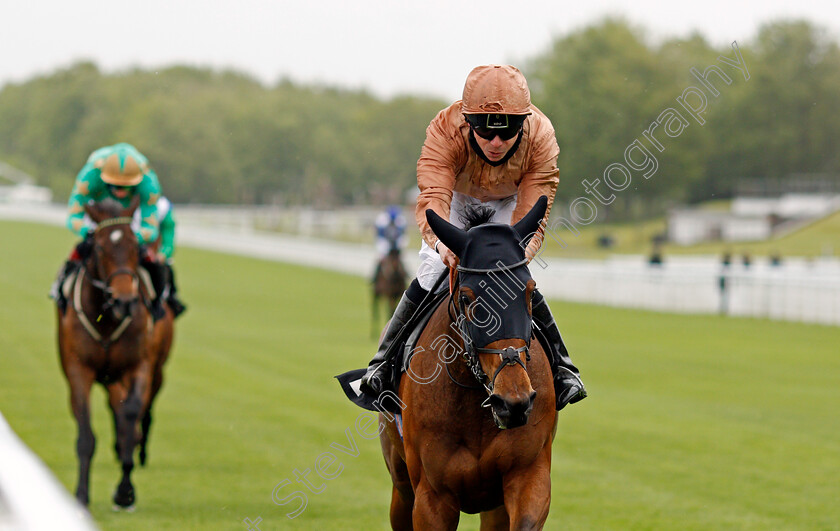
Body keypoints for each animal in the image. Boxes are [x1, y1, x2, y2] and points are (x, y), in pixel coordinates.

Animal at [56, 197, 174, 510]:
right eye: (98, 247)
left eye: (135, 247)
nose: (124, 301)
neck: (106, 320)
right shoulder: (78, 369)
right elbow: (86, 434)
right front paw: (81, 496)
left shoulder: (139, 365)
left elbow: (130, 420)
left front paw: (125, 493)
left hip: (156, 370)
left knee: (141, 414)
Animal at [378, 197, 556, 528]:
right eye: (466, 298)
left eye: (529, 292)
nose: (513, 402)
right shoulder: (431, 497)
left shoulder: (529, 475)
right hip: (401, 483)